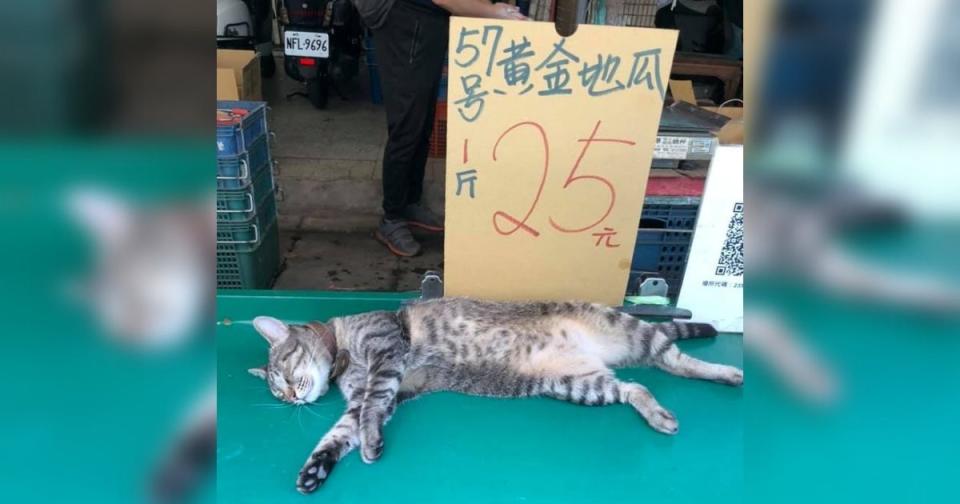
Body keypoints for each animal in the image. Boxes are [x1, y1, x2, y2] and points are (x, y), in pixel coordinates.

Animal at [248, 298, 744, 494]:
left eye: (283, 370)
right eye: (277, 388)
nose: (291, 397)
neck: (344, 354)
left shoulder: (387, 357)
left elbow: (368, 410)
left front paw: (370, 444)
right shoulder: (378, 393)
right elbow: (338, 433)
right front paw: (316, 467)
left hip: (632, 333)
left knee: (673, 361)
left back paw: (727, 373)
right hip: (581, 384)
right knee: (636, 387)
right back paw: (658, 413)